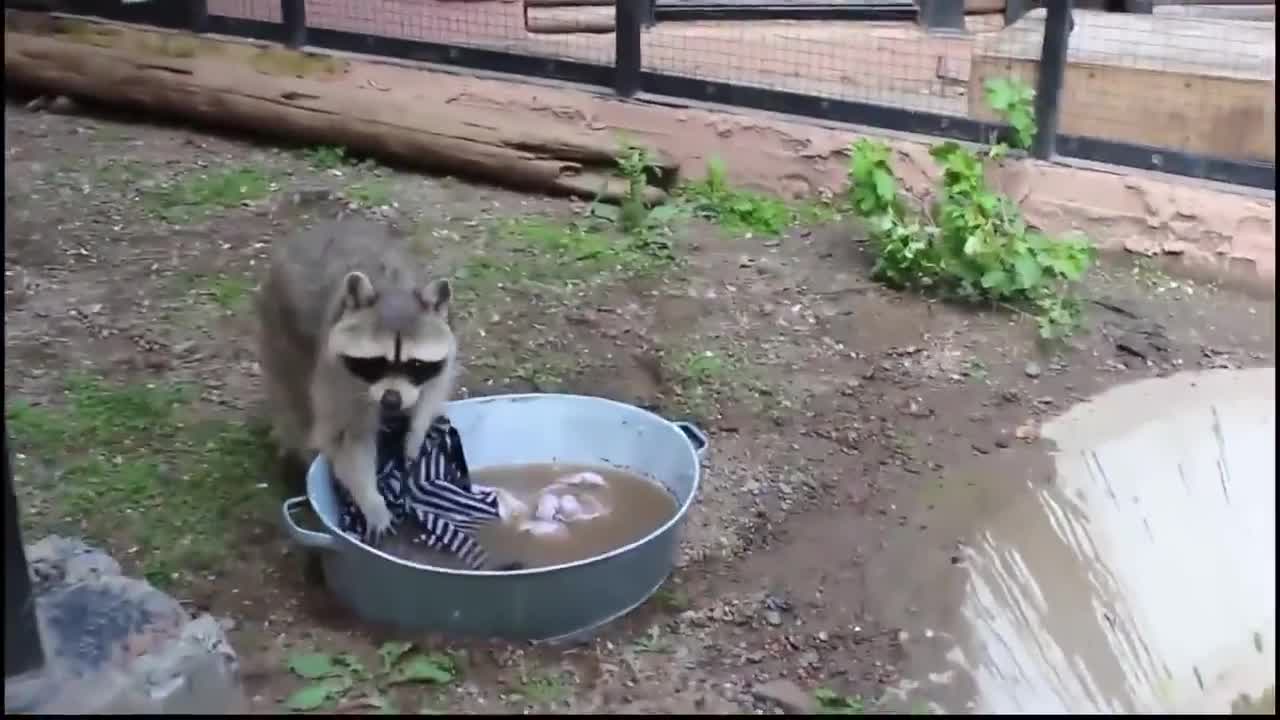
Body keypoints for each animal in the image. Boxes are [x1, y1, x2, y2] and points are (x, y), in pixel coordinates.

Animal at [252, 215, 458, 540]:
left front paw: (416, 431)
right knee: (294, 405)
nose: (391, 400)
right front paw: (370, 499)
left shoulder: (442, 354)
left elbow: (433, 389)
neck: (393, 289)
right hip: (278, 333)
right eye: (376, 363)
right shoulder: (335, 372)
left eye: (414, 363)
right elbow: (347, 436)